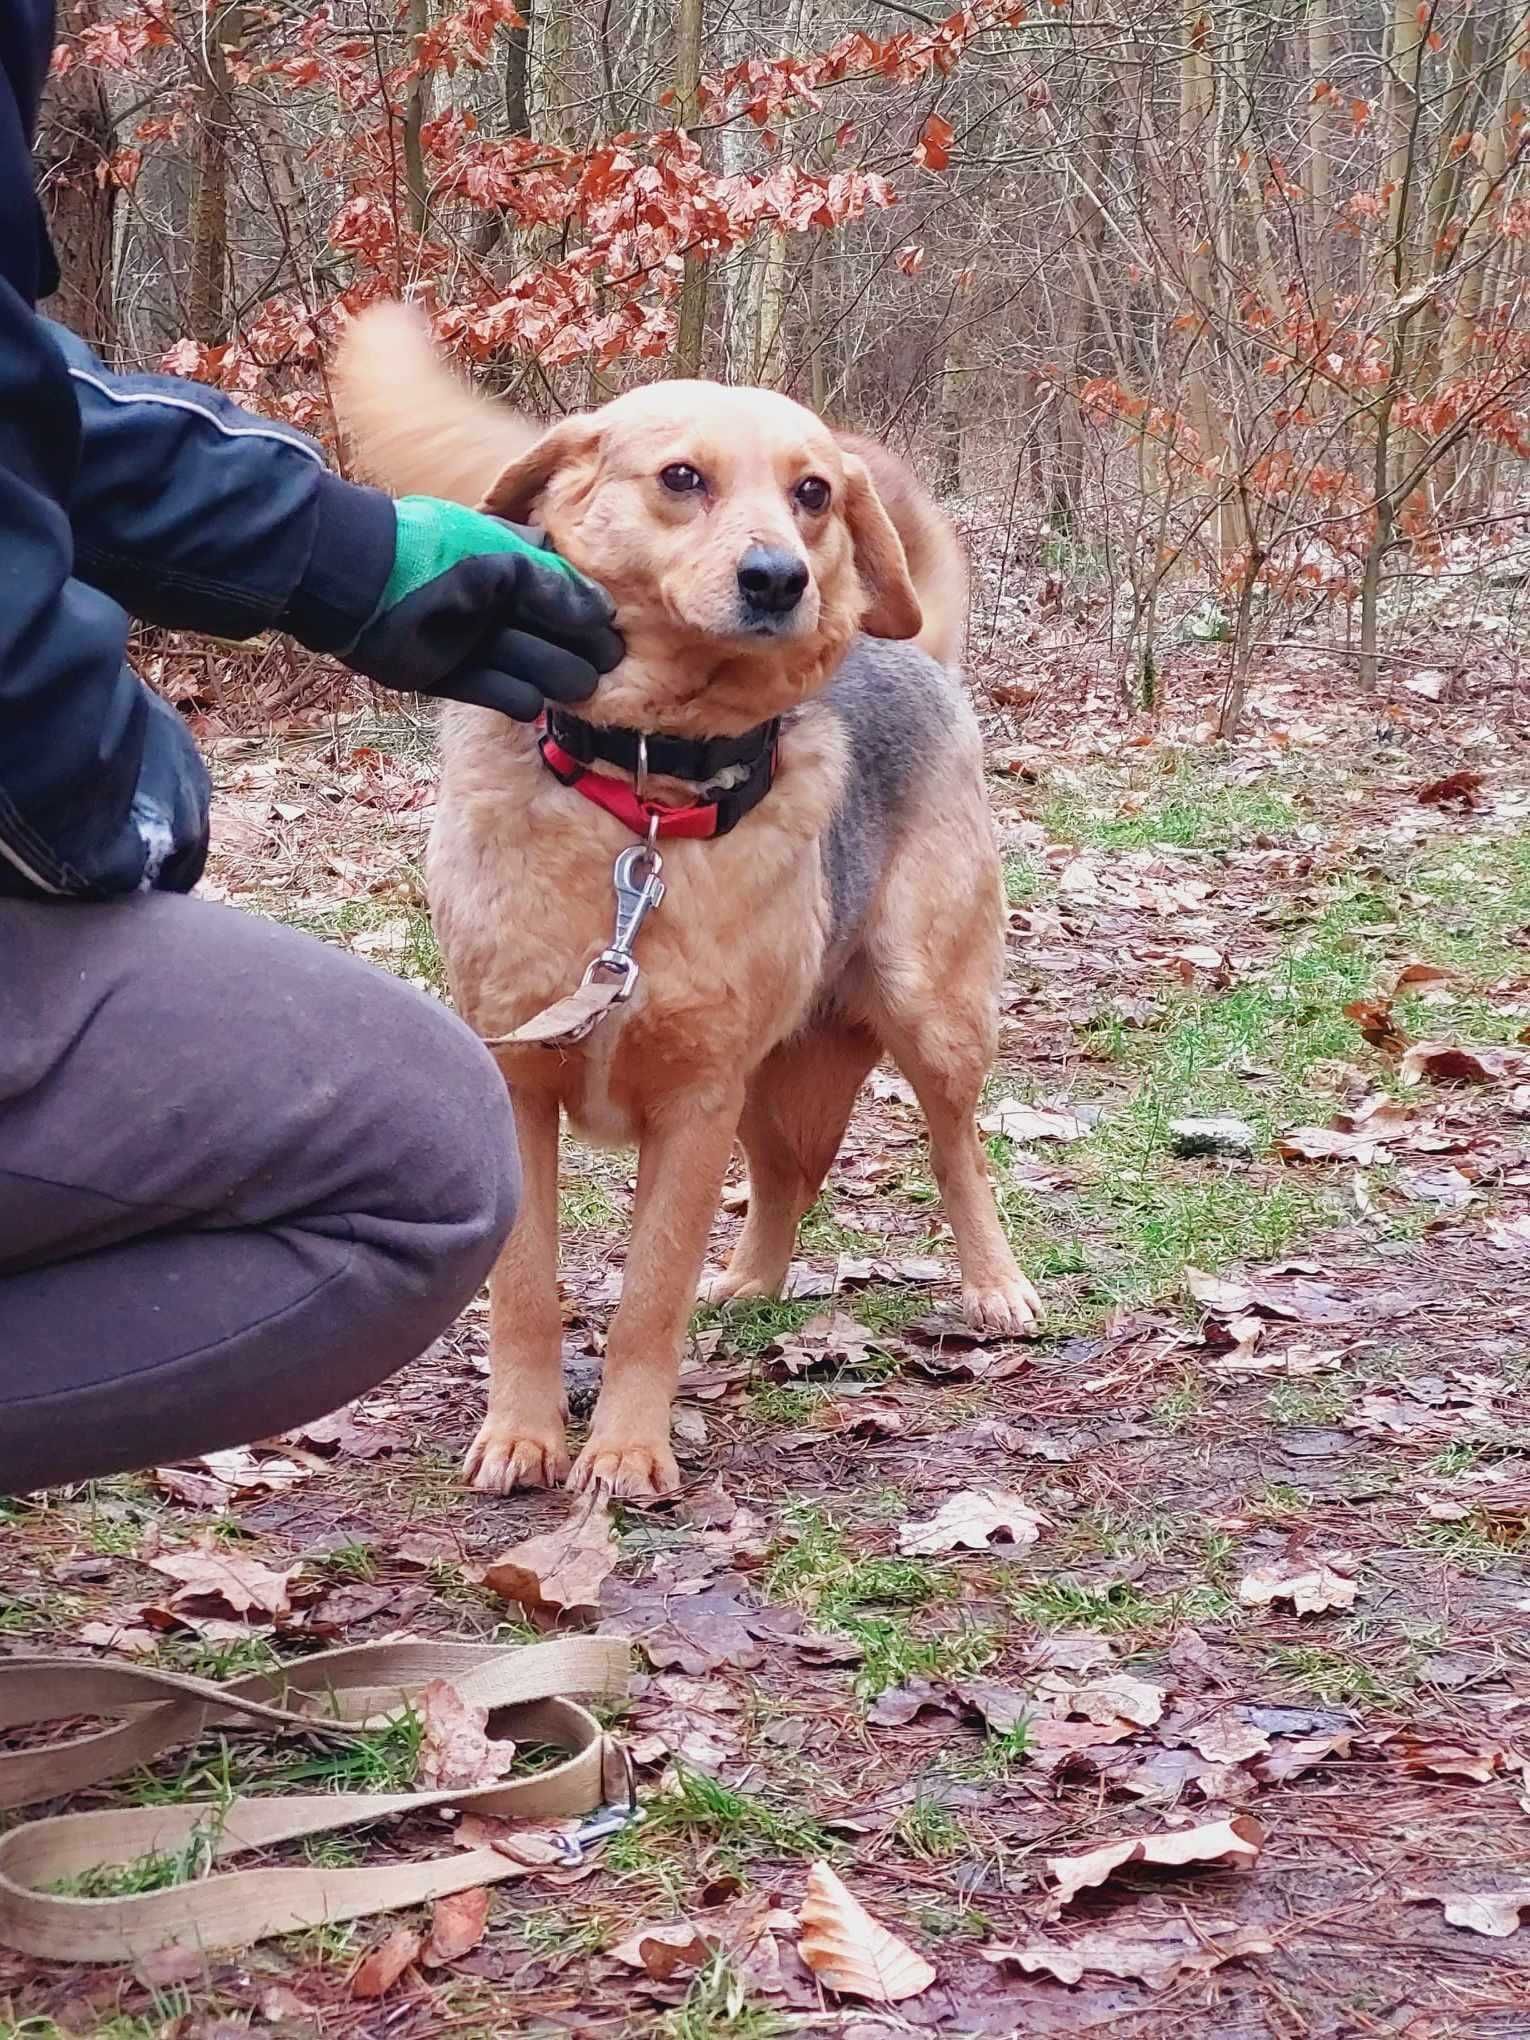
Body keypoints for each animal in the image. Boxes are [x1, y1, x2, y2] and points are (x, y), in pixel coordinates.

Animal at [330, 310, 1036, 1509]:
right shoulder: (524, 1087)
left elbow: (648, 1298)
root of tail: (915, 651)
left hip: (928, 1012)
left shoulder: (694, 1103)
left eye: (811, 492)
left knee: (958, 1153)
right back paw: (752, 1279)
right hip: (768, 1070)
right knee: (788, 1175)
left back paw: (993, 1285)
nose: (779, 578)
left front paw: (623, 1451)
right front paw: (522, 1434)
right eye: (680, 478)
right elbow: (526, 1291)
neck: (649, 799)